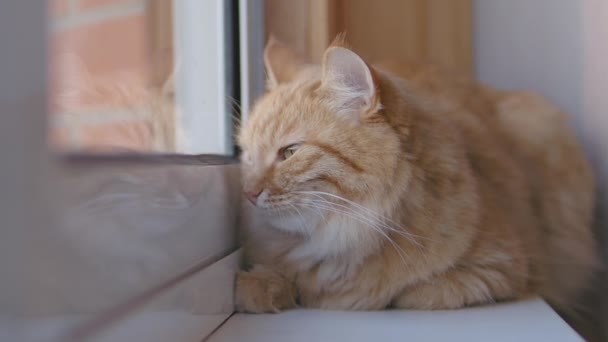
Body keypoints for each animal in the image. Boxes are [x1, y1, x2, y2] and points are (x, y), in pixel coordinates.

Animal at [235, 36, 596, 320]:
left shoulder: (503, 269)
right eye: (247, 155)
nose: (248, 194)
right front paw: (260, 285)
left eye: (289, 152)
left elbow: (409, 292)